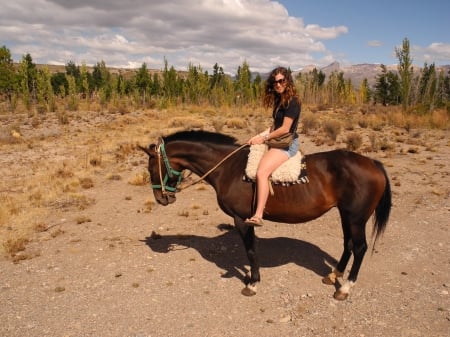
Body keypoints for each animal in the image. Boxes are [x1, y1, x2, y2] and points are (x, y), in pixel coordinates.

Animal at [140, 129, 390, 300]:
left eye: (151, 168)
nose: (161, 198)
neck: (228, 168)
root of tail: (372, 163)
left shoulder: (242, 220)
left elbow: (251, 251)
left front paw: (252, 283)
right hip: (346, 216)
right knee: (348, 244)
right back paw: (333, 276)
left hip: (356, 219)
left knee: (360, 248)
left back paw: (345, 288)